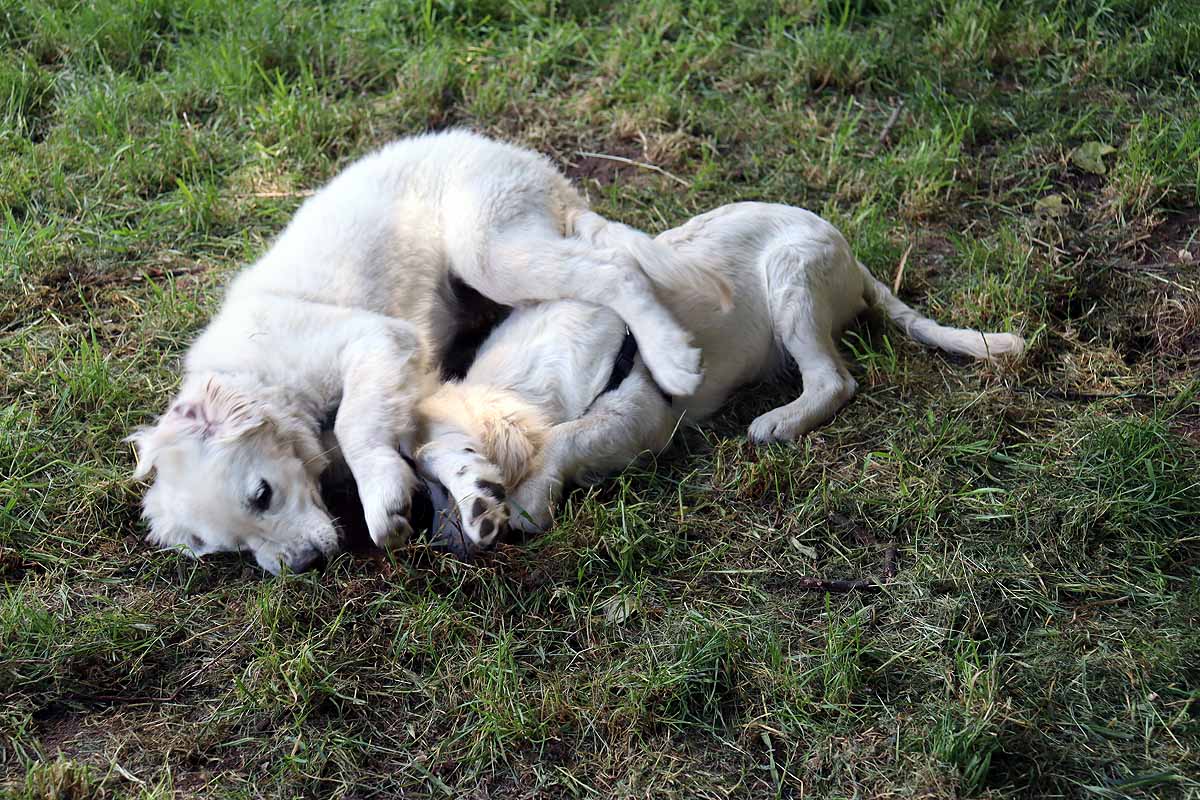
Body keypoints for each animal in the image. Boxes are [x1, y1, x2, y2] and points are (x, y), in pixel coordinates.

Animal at [129, 128, 729, 573]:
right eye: (231, 548)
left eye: (262, 494)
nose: (300, 567)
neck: (258, 376)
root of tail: (540, 171)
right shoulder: (411, 392)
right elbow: (436, 450)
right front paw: (466, 495)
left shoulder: (377, 340)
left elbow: (354, 424)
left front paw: (382, 500)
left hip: (488, 250)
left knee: (615, 270)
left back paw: (674, 358)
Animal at [417, 200, 1027, 544]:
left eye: (457, 478)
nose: (437, 542)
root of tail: (852, 260)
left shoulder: (638, 412)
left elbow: (567, 435)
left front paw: (530, 501)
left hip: (792, 278)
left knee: (834, 380)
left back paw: (779, 422)